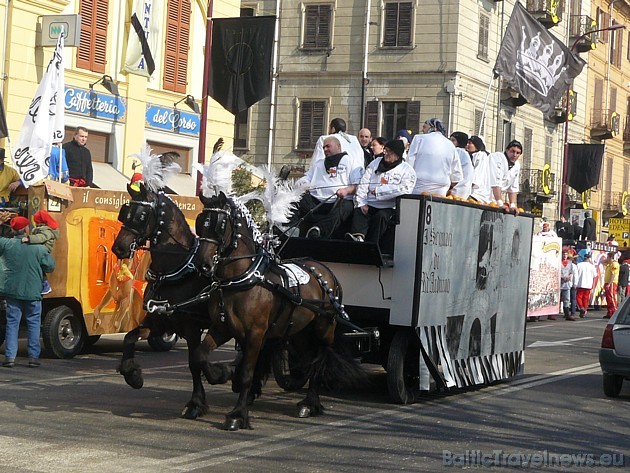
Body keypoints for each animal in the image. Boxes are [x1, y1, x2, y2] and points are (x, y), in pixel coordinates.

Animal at [195, 192, 368, 432]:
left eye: (220, 225)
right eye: (200, 222)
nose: (202, 265)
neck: (242, 279)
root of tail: (326, 271)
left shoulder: (256, 334)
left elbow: (247, 373)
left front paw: (238, 415)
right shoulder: (222, 328)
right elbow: (200, 355)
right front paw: (219, 375)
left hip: (324, 329)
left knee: (319, 361)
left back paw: (309, 404)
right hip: (300, 333)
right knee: (309, 358)